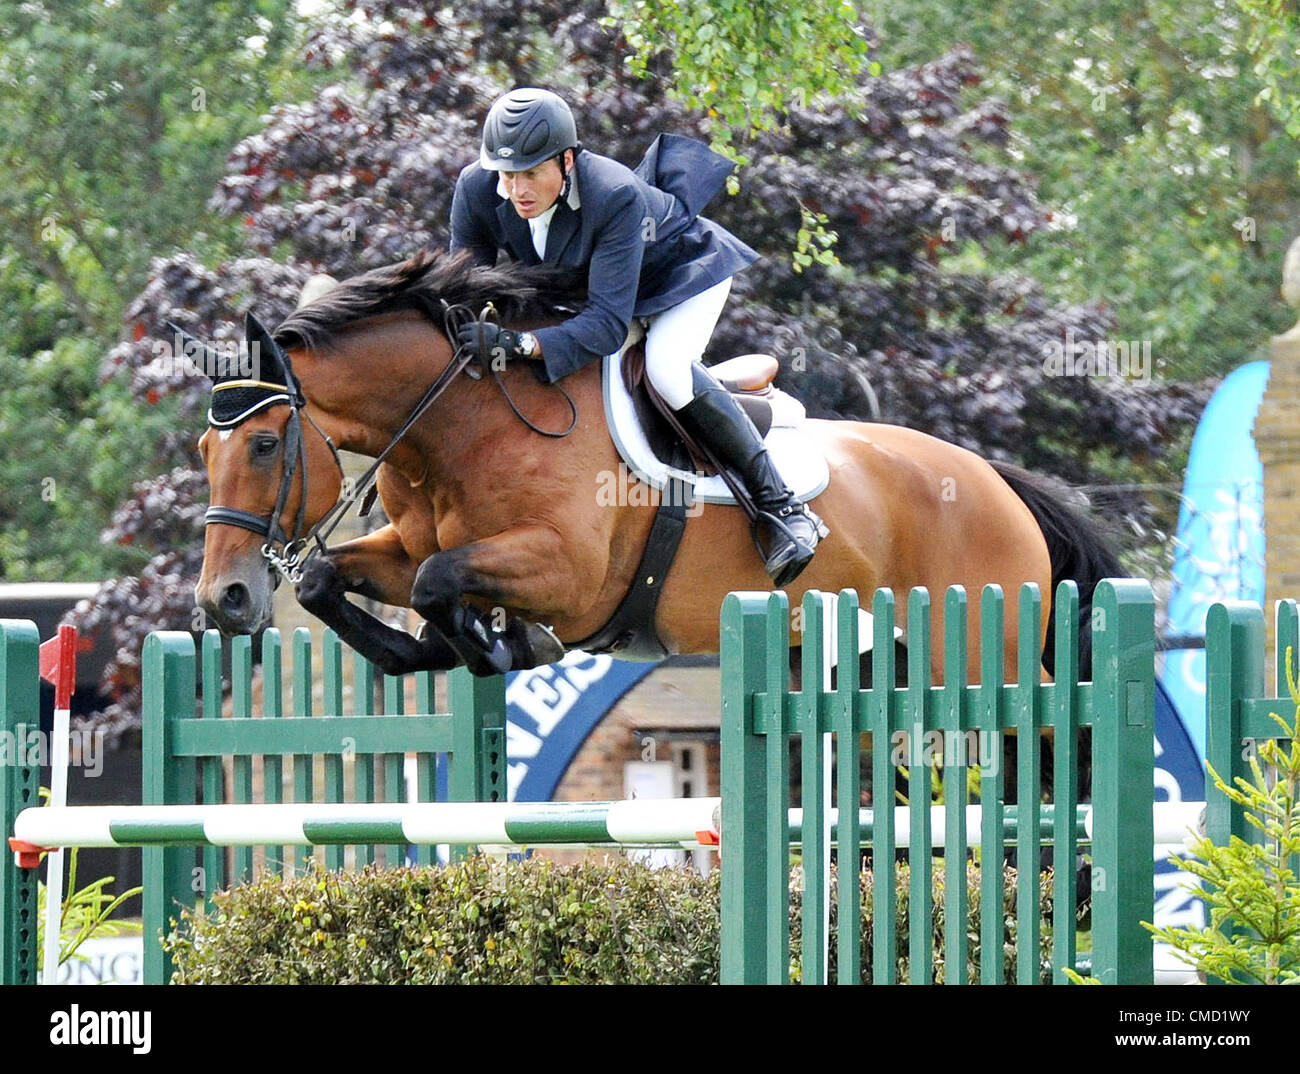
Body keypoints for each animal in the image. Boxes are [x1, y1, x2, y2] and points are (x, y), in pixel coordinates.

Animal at [189, 245, 1118, 681]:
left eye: (265, 445)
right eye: (206, 448)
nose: (223, 601)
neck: (458, 425)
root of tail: (999, 485)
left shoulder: (565, 570)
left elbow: (435, 582)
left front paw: (497, 647)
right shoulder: (412, 543)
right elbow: (334, 579)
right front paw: (431, 651)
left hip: (984, 656)